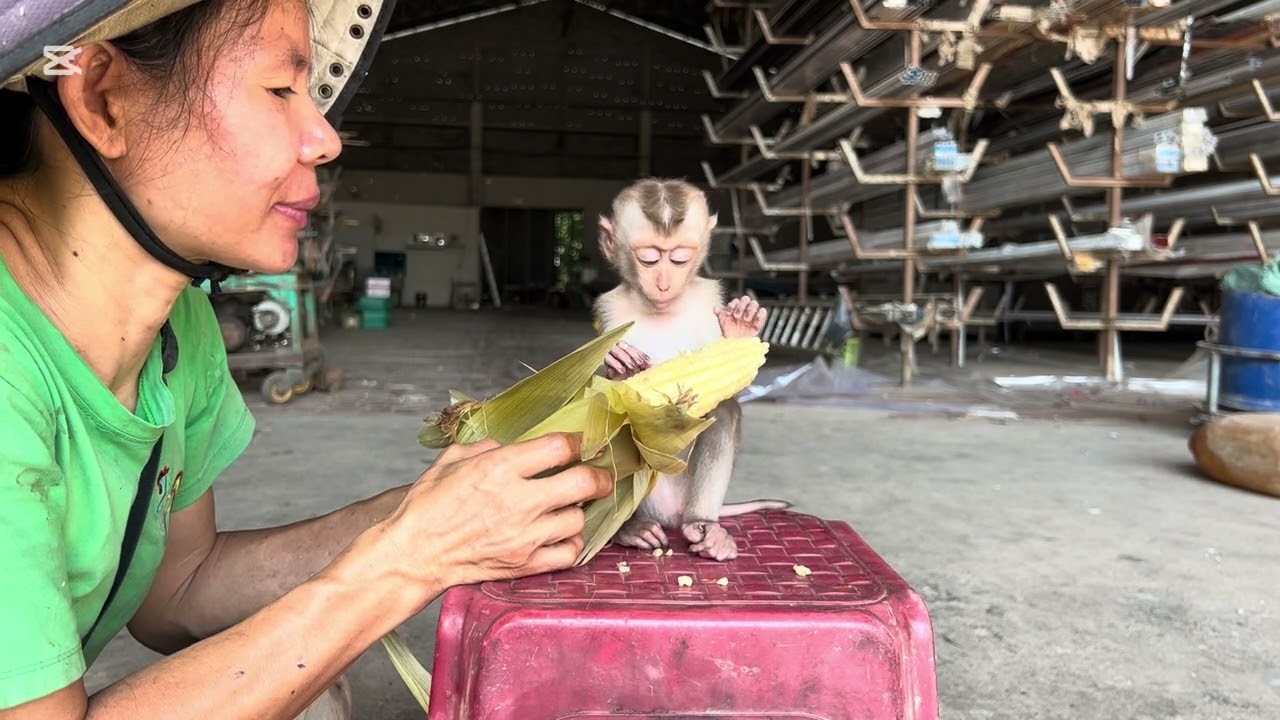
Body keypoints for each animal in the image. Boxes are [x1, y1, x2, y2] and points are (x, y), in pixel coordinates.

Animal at [593, 178, 791, 561]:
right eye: (649, 258)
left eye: (679, 258)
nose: (664, 282)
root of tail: (672, 512)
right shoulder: (609, 310)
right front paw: (621, 369)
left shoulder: (710, 297)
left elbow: (730, 381)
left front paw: (739, 331)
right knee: (614, 425)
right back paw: (631, 529)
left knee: (724, 411)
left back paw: (704, 527)